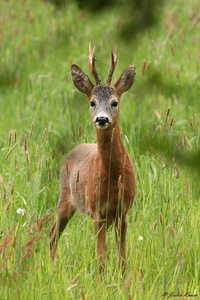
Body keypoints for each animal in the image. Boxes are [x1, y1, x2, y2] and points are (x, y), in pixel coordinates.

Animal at [50, 43, 136, 276]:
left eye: (115, 102)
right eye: (92, 102)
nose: (102, 119)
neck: (114, 178)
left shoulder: (123, 211)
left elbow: (122, 257)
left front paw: (123, 280)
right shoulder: (98, 210)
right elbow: (101, 258)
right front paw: (102, 280)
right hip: (65, 197)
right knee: (52, 234)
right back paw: (52, 268)